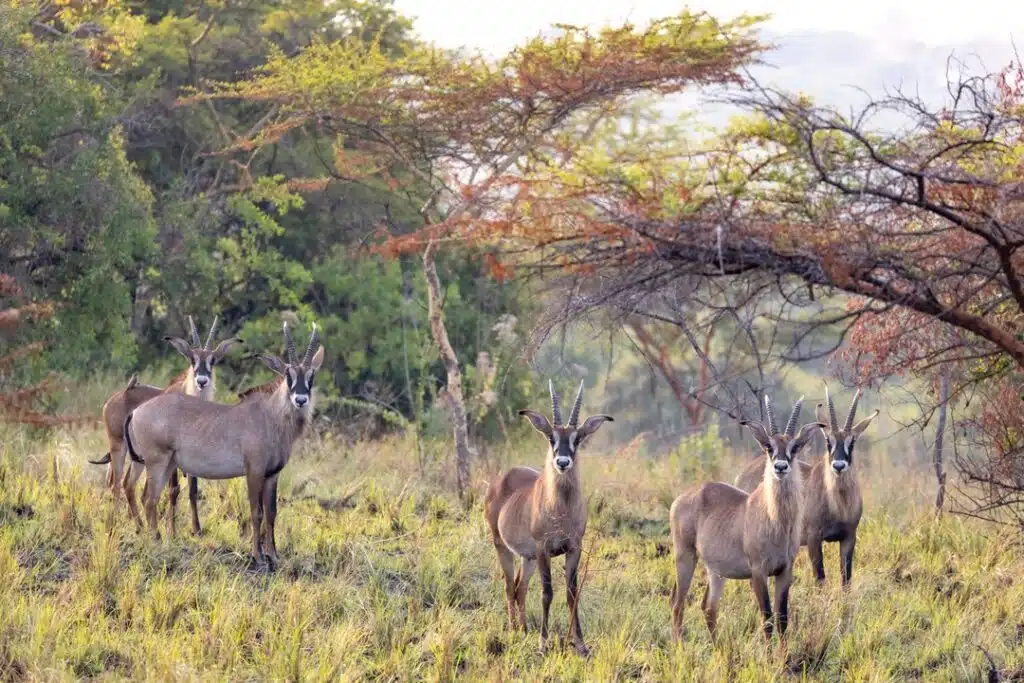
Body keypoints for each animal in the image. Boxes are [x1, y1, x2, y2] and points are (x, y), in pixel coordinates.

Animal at [90, 316, 241, 534]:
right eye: (192, 359)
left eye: (212, 360)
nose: (202, 381)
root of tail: (117, 397)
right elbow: (173, 489)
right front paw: (172, 530)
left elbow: (192, 490)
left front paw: (196, 529)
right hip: (118, 448)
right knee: (116, 484)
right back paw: (116, 526)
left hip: (138, 459)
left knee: (127, 484)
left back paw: (139, 526)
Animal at [124, 322, 323, 570]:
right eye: (288, 375)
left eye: (311, 375)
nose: (301, 400)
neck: (271, 416)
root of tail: (136, 412)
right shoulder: (254, 471)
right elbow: (256, 512)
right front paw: (258, 556)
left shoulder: (272, 475)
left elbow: (271, 514)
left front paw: (273, 556)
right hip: (157, 462)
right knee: (150, 499)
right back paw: (156, 541)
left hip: (167, 464)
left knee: (147, 498)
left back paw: (157, 539)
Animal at [484, 380, 613, 656]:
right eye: (551, 437)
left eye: (577, 438)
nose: (562, 462)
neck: (560, 508)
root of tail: (502, 478)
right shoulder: (544, 549)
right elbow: (547, 592)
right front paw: (543, 643)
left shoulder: (573, 548)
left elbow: (572, 593)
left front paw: (581, 644)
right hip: (503, 547)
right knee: (509, 585)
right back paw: (513, 629)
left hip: (529, 558)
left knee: (520, 587)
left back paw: (523, 629)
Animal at [669, 396, 822, 641]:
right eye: (769, 446)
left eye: (795, 447)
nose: (780, 467)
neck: (776, 520)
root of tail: (682, 498)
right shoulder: (758, 573)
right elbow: (767, 619)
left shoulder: (784, 571)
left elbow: (783, 619)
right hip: (685, 556)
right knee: (678, 603)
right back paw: (680, 646)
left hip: (716, 571)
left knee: (708, 607)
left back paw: (720, 648)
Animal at [735, 385, 877, 587]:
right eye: (828, 442)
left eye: (852, 442)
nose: (839, 465)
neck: (838, 504)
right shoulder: (813, 538)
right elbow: (820, 577)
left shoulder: (849, 537)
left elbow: (846, 579)